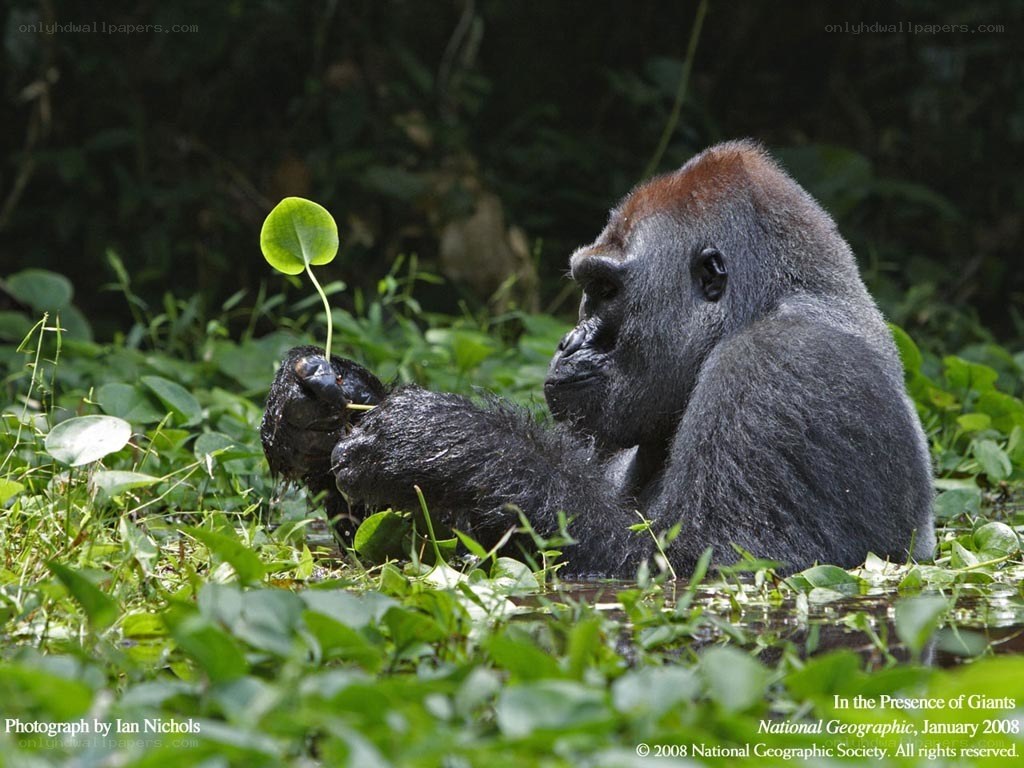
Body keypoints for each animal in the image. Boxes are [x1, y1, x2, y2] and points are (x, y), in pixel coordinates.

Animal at [261, 140, 936, 577]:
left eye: (606, 291)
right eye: (589, 287)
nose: (568, 341)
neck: (763, 303)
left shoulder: (785, 368)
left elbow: (705, 565)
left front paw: (443, 443)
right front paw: (315, 410)